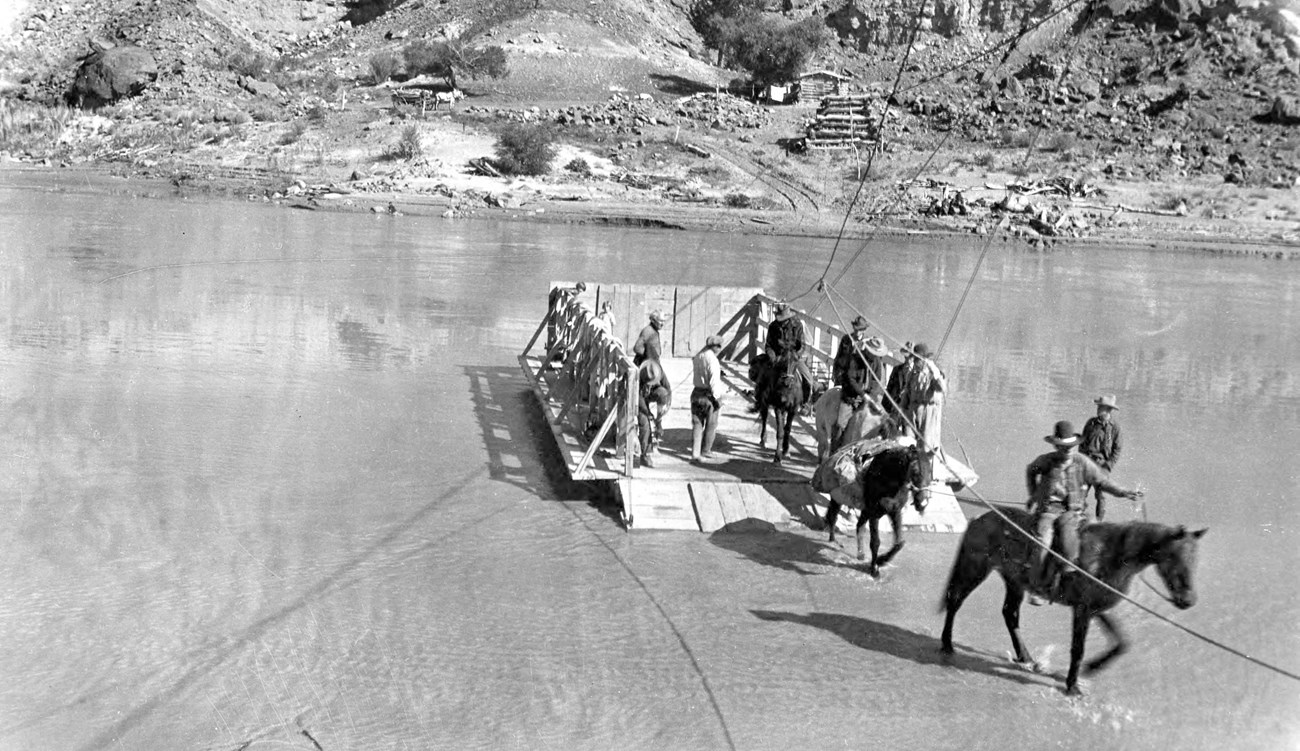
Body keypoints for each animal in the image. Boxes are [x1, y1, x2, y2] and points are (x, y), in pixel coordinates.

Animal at [826, 441, 930, 576]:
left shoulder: (894, 512)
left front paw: (881, 560)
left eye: (931, 473)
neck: (886, 478)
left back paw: (861, 554)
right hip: (837, 499)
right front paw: (874, 568)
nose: (923, 503)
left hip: (865, 511)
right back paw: (833, 541)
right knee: (833, 516)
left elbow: (899, 543)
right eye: (917, 472)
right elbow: (875, 542)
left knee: (859, 526)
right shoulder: (874, 514)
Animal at [935, 506, 1206, 691]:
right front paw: (1073, 686)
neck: (1112, 554)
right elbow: (1078, 648)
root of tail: (978, 520)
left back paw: (1027, 658)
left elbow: (1121, 641)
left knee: (1010, 614)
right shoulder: (1083, 610)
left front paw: (1092, 668)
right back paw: (947, 645)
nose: (1188, 601)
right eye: (1177, 558)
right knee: (955, 600)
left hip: (1014, 582)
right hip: (975, 569)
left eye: (1195, 560)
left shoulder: (1097, 607)